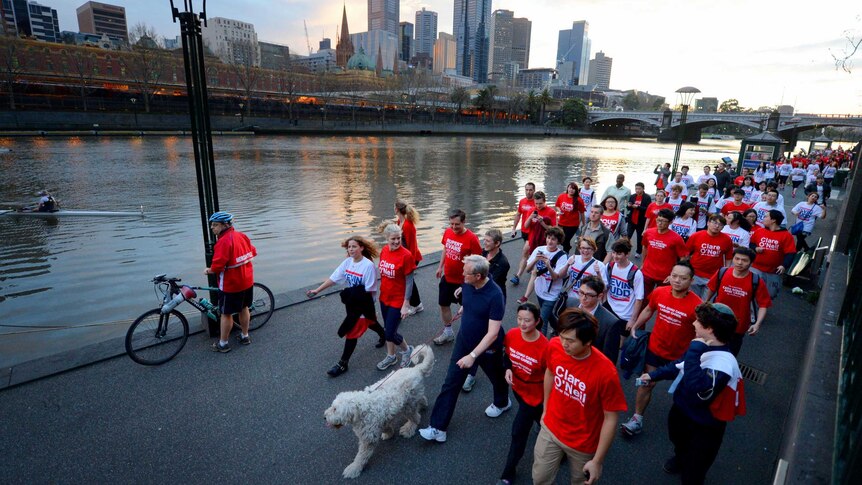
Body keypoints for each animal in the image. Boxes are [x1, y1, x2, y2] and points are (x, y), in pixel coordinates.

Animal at [324, 346, 436, 478]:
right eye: (332, 406)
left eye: (335, 409)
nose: (324, 417)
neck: (361, 408)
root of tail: (416, 369)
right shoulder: (380, 420)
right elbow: (386, 427)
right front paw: (389, 433)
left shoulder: (368, 438)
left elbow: (361, 456)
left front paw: (354, 468)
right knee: (421, 400)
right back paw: (424, 404)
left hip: (408, 406)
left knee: (416, 417)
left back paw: (408, 429)